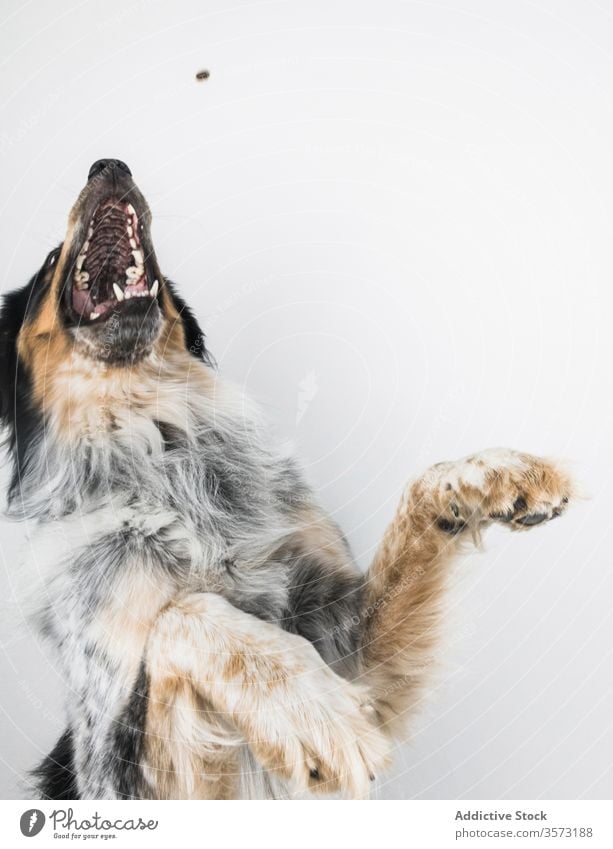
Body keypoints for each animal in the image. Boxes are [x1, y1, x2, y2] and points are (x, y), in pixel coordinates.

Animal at [0, 161, 572, 800]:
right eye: (52, 260)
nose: (108, 165)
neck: (164, 446)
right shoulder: (114, 767)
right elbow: (184, 613)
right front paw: (310, 708)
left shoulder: (355, 650)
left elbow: (419, 496)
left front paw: (491, 474)